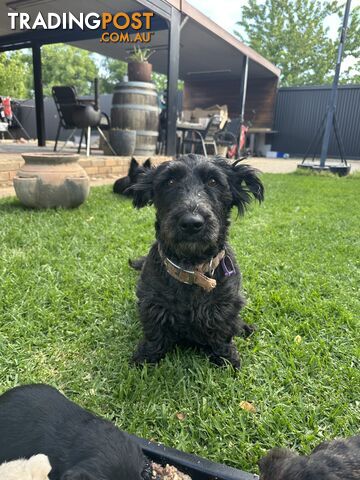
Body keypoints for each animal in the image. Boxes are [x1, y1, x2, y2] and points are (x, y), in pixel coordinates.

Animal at [132, 154, 264, 368]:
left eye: (213, 181)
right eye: (170, 181)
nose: (191, 223)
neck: (193, 269)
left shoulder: (225, 305)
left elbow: (223, 333)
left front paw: (227, 359)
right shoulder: (153, 303)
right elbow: (154, 334)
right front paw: (145, 358)